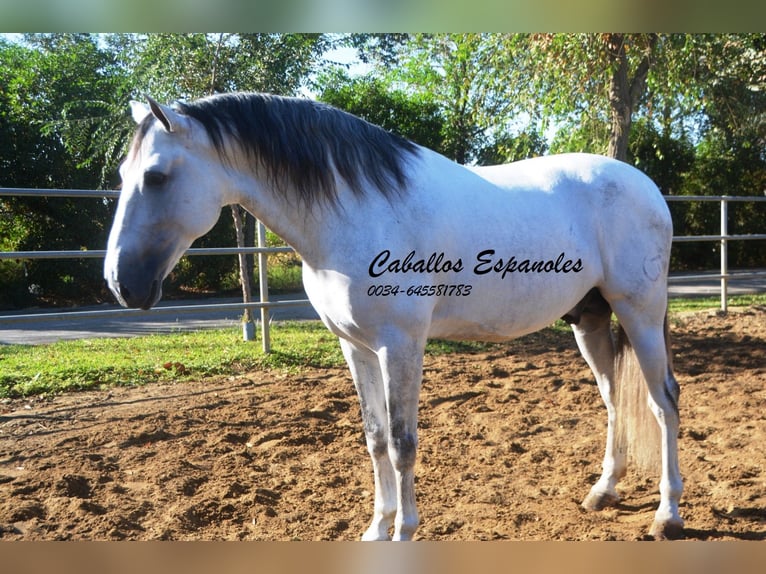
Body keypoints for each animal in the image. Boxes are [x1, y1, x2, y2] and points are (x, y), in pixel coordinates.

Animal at [105, 92, 688, 544]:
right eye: (124, 174)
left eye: (155, 176)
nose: (120, 282)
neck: (355, 211)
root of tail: (646, 187)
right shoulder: (356, 346)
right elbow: (376, 437)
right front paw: (376, 529)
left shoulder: (400, 345)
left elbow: (404, 443)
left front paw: (404, 532)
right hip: (588, 318)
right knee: (614, 397)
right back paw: (603, 491)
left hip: (640, 311)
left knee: (662, 402)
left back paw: (667, 515)